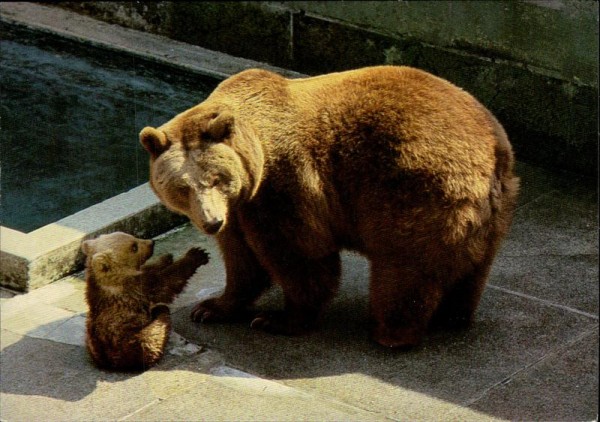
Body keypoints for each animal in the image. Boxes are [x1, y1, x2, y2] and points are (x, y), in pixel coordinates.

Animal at [141, 66, 520, 348]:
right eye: (182, 187)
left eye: (215, 178)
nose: (211, 222)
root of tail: (494, 147)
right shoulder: (241, 209)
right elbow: (241, 260)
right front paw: (212, 307)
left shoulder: (284, 184)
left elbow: (300, 254)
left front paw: (277, 318)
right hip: (492, 210)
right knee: (471, 267)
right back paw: (452, 315)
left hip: (415, 186)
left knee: (404, 265)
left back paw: (389, 332)